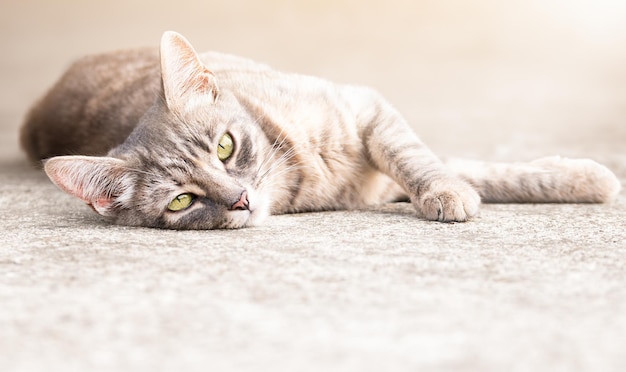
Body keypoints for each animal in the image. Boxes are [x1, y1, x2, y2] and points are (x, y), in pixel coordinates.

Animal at [19, 31, 620, 230]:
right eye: (181, 201)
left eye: (225, 146)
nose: (239, 199)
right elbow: (460, 169)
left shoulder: (369, 111)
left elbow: (431, 160)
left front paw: (582, 180)